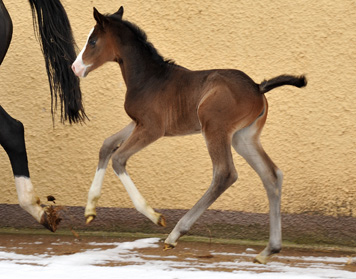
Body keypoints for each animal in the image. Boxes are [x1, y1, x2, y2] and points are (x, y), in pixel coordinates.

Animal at [72, 6, 306, 264]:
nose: (75, 68)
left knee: (225, 173)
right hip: (243, 137)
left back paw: (175, 235)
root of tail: (257, 87)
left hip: (214, 128)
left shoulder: (152, 128)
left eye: (93, 41)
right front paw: (90, 211)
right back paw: (269, 250)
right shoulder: (137, 123)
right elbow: (106, 145)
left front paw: (155, 216)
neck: (149, 78)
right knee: (271, 175)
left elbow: (119, 158)